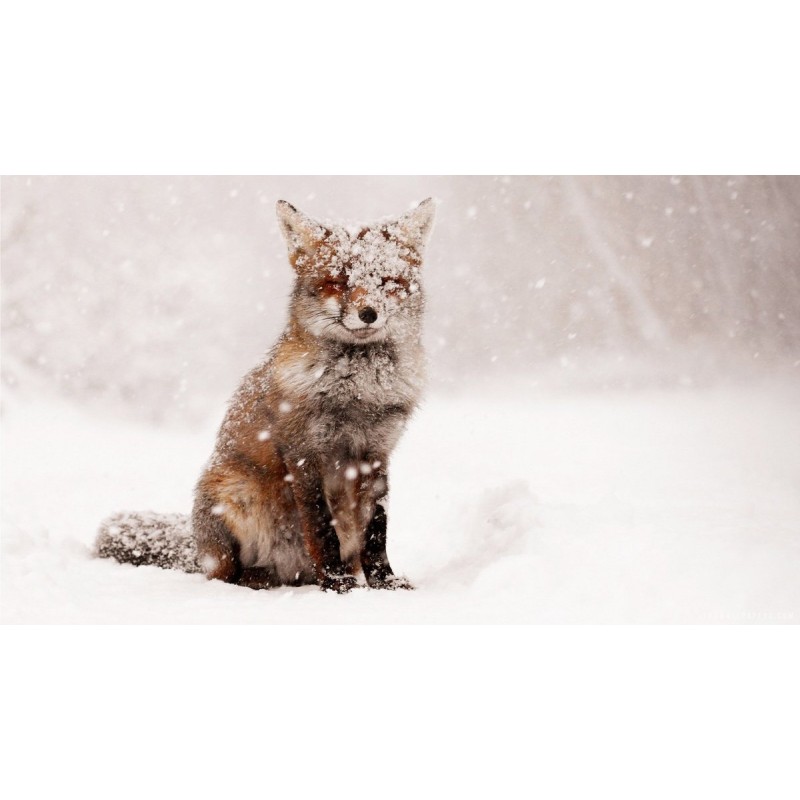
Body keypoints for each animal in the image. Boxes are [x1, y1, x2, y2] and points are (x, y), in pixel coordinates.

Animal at [95, 197, 435, 593]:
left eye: (387, 281)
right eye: (338, 282)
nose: (369, 313)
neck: (356, 394)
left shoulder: (377, 453)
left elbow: (376, 529)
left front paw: (384, 582)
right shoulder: (304, 452)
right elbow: (321, 527)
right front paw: (337, 584)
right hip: (233, 495)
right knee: (226, 575)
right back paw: (260, 579)